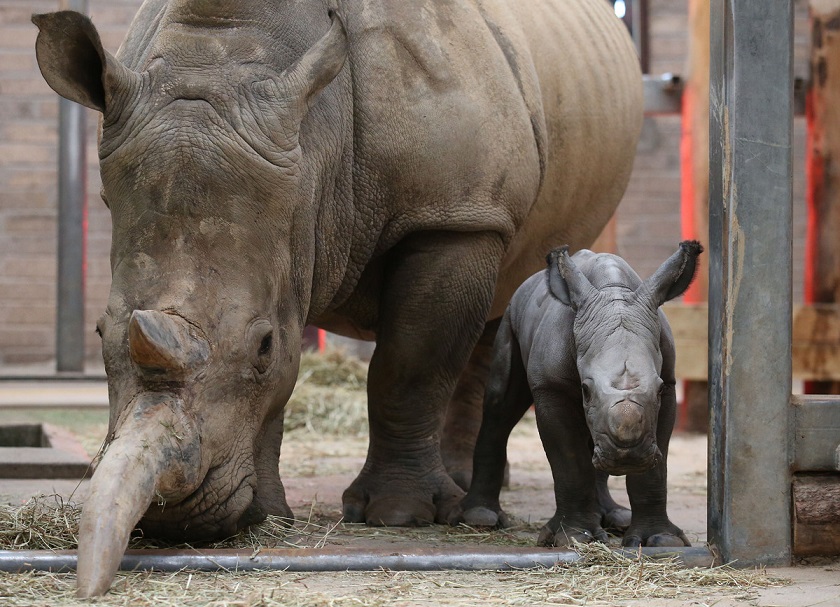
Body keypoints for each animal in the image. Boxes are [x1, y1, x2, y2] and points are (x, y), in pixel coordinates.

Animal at [456, 241, 700, 548]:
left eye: (657, 390)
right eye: (585, 390)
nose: (628, 457)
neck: (613, 291)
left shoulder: (667, 381)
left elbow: (657, 466)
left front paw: (660, 540)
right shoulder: (551, 387)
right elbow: (569, 461)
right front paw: (573, 538)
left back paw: (615, 518)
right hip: (511, 313)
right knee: (501, 407)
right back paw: (481, 519)